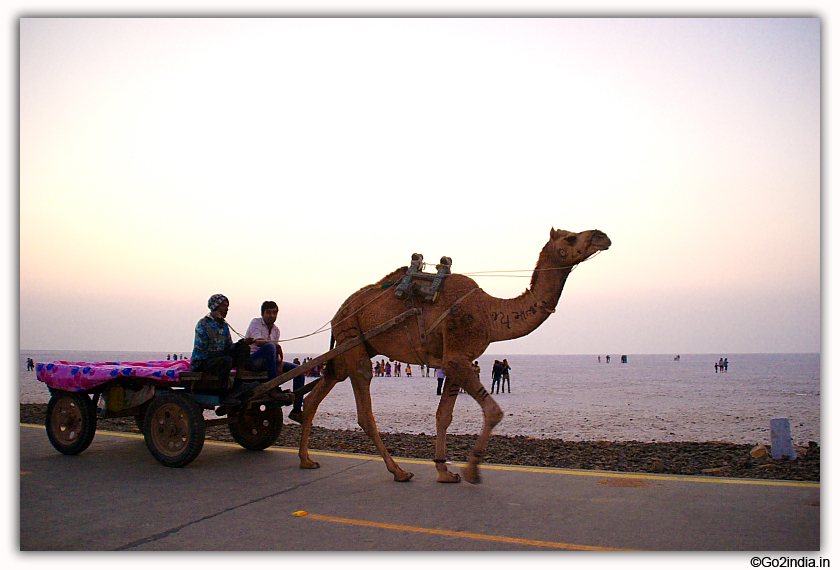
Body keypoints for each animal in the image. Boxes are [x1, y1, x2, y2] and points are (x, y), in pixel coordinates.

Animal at [296, 224, 612, 482]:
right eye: (571, 238)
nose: (603, 236)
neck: (490, 314)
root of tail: (339, 312)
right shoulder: (457, 357)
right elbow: (493, 411)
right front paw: (472, 470)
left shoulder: (454, 361)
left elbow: (443, 415)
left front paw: (444, 470)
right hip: (354, 341)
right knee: (364, 410)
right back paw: (399, 471)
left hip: (350, 347)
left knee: (317, 393)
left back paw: (307, 459)